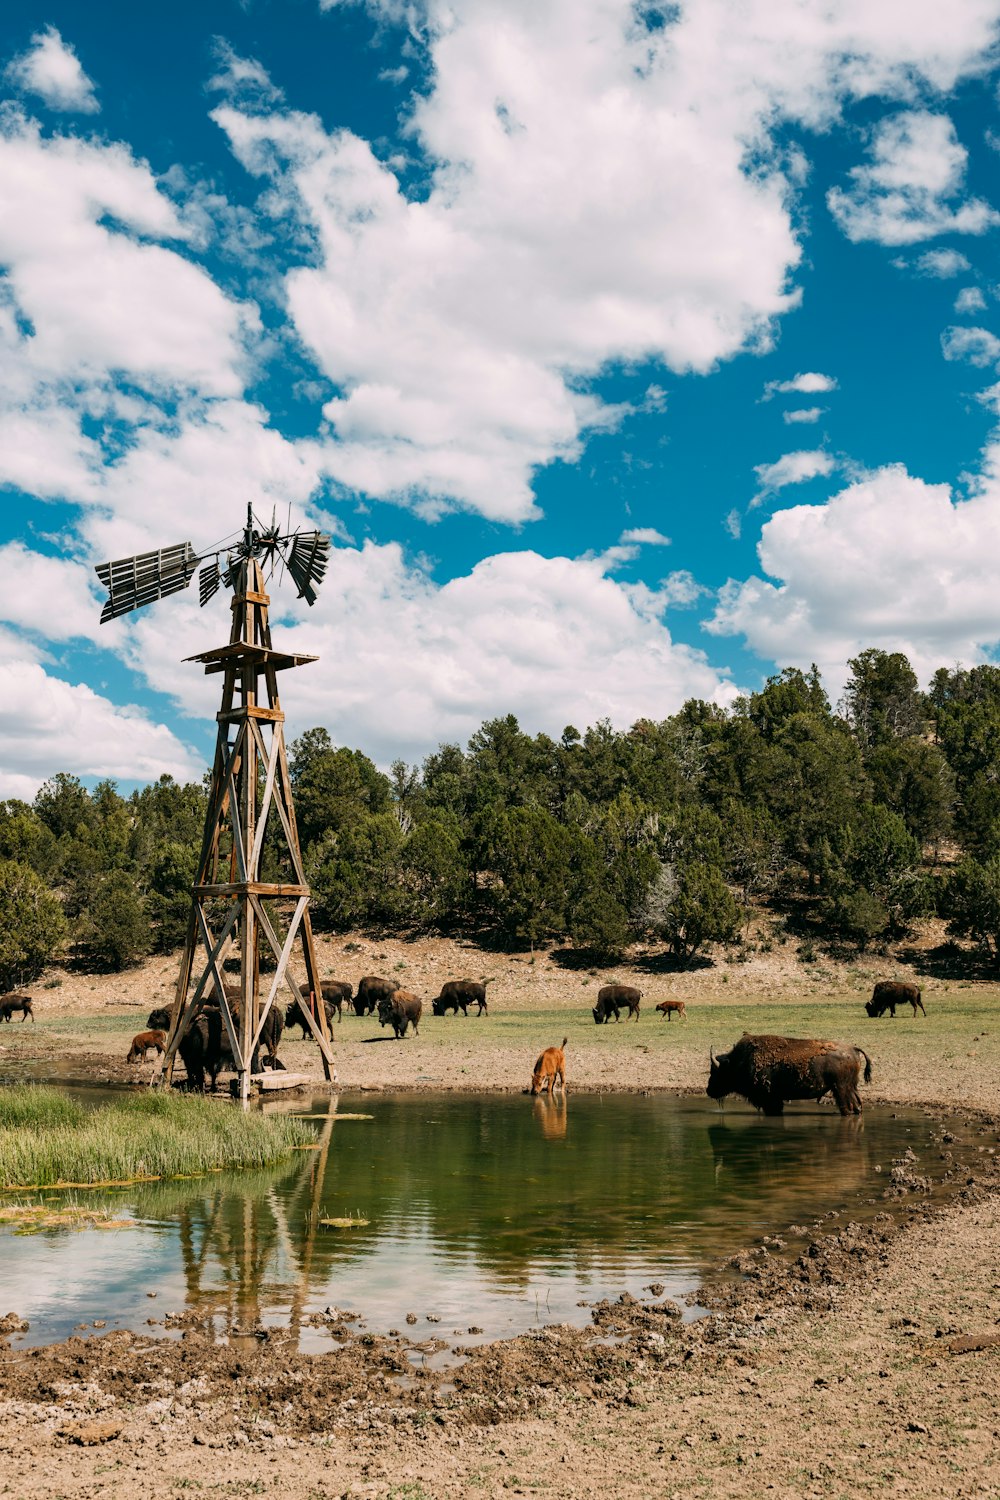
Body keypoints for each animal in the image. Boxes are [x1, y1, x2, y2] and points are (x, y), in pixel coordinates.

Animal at [707, 1038, 869, 1122]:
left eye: (718, 1073)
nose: (708, 1090)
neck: (740, 1062)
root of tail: (853, 1049)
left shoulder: (770, 1100)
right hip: (850, 1087)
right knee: (857, 1105)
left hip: (840, 1089)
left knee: (847, 1107)